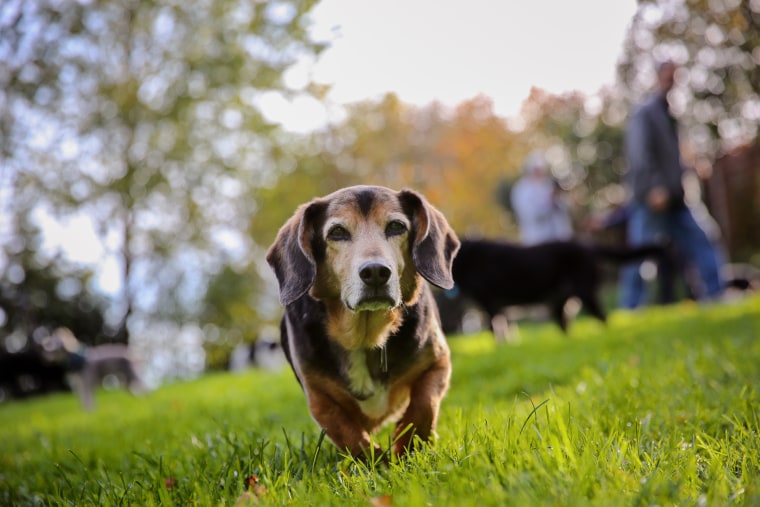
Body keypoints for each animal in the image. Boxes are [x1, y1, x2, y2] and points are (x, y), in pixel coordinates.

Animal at [264, 186, 460, 460]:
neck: (367, 335)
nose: (376, 272)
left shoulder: (438, 363)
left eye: (397, 226)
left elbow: (424, 405)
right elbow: (348, 433)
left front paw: (407, 448)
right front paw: (378, 463)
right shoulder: (318, 396)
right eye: (337, 232)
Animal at [454, 239, 664, 342]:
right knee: (566, 323)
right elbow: (507, 329)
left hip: (585, 292)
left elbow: (496, 330)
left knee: (602, 316)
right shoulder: (500, 307)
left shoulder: (489, 302)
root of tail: (587, 245)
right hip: (561, 301)